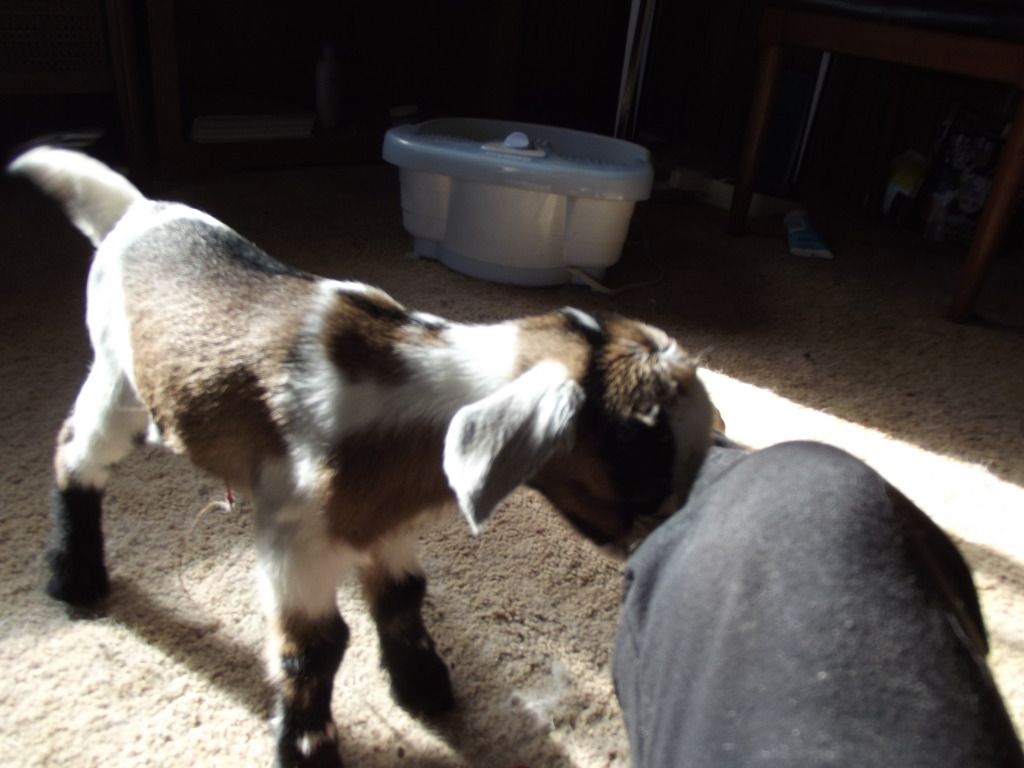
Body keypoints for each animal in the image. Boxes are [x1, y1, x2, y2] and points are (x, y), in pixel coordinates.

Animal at [9, 147, 715, 767]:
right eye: (643, 459)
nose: (669, 532)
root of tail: (136, 212)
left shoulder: (384, 526)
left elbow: (403, 596)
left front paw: (424, 685)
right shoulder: (295, 539)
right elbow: (316, 648)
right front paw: (307, 749)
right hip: (117, 382)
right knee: (75, 456)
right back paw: (74, 577)